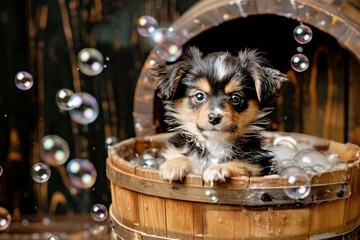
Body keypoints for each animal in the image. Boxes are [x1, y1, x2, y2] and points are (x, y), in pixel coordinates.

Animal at [150, 47, 288, 186]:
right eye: (199, 96)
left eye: (235, 98)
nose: (214, 117)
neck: (214, 143)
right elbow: (182, 156)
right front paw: (173, 164)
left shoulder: (257, 166)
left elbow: (241, 164)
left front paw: (218, 169)